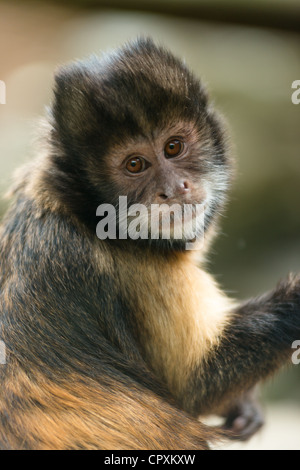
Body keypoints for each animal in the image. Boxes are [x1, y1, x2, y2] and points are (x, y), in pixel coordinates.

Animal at [0, 36, 300, 448]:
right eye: (135, 165)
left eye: (173, 147)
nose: (174, 189)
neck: (85, 215)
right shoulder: (131, 267)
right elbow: (195, 388)